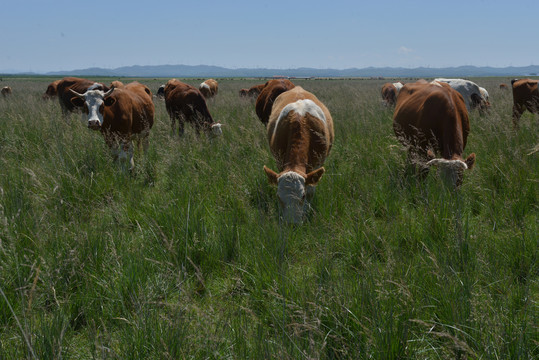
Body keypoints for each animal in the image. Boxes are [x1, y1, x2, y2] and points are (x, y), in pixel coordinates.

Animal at [264, 86, 336, 224]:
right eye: (278, 196)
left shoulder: (317, 164)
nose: (291, 224)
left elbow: (311, 190)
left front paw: (306, 212)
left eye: (302, 196)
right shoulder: (280, 162)